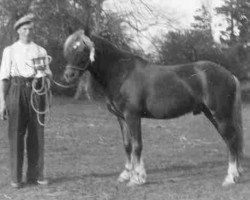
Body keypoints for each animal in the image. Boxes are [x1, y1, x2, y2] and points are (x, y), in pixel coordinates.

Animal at [63, 30, 244, 187]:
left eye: (83, 49)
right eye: (70, 48)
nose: (68, 75)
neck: (121, 74)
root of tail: (229, 74)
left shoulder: (132, 116)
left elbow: (137, 145)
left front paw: (137, 179)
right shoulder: (121, 118)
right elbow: (127, 145)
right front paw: (127, 174)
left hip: (220, 115)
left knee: (231, 139)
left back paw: (230, 177)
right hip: (212, 115)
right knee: (230, 141)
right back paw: (236, 174)